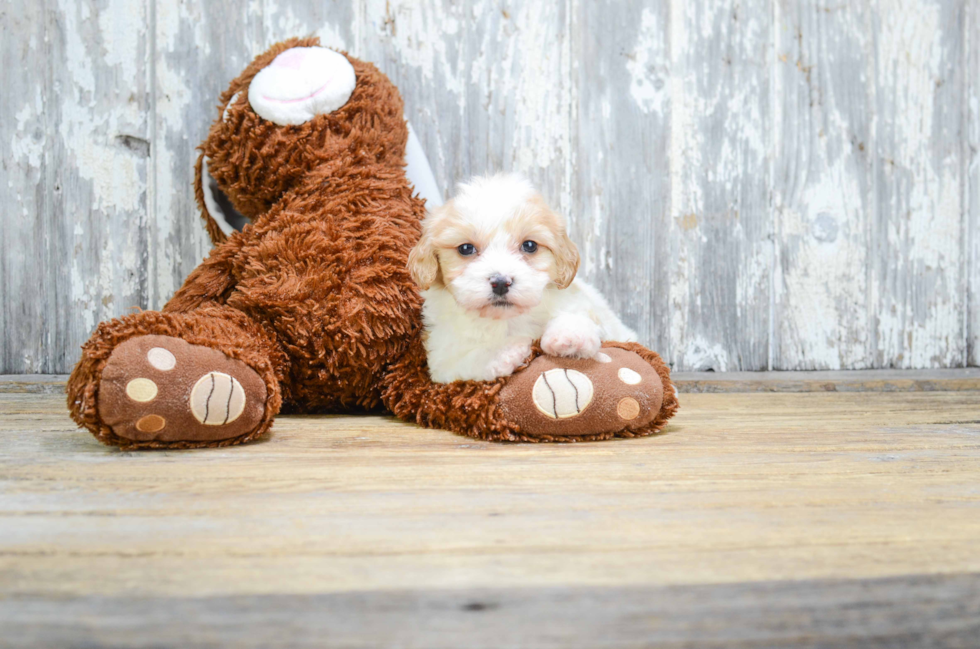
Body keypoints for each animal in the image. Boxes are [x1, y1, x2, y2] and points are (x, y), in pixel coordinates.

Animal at [406, 173, 636, 384]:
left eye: (529, 245)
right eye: (466, 249)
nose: (500, 283)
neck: (508, 319)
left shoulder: (582, 303)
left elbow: (578, 314)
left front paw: (570, 336)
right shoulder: (442, 358)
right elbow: (466, 361)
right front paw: (506, 351)